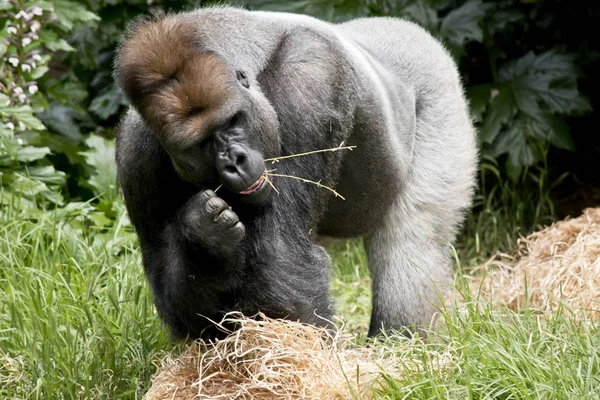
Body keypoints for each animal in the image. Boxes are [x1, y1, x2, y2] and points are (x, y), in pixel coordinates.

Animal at [113, 6, 478, 340]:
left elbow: (281, 255)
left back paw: (401, 342)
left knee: (413, 237)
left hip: (437, 80)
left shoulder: (310, 74)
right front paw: (204, 238)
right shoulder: (135, 155)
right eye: (201, 143)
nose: (235, 162)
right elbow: (179, 302)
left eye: (232, 122)